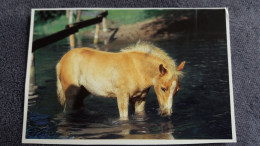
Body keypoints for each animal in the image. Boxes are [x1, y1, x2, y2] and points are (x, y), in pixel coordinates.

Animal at [55, 41, 184, 120]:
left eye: (177, 90)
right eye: (163, 88)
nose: (166, 113)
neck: (137, 69)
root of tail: (61, 61)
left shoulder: (140, 99)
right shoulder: (122, 97)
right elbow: (124, 118)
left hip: (83, 92)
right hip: (71, 93)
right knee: (68, 111)